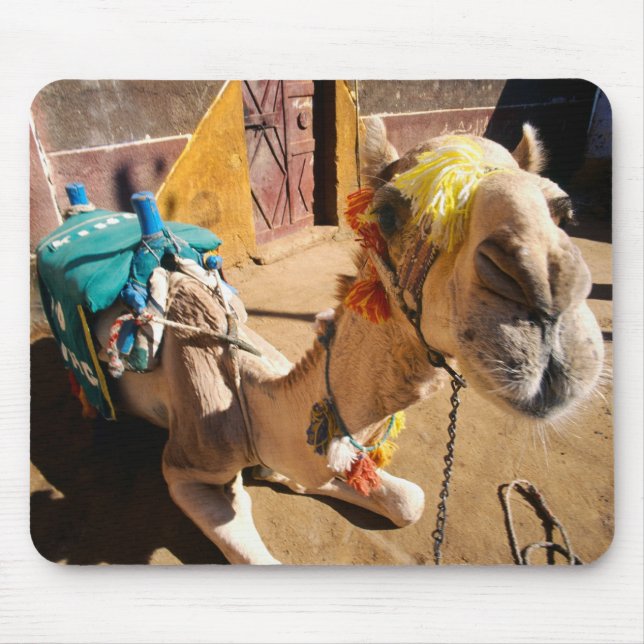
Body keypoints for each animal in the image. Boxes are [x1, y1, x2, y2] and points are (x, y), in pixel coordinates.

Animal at [105, 119, 603, 564]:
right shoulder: (186, 467)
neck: (253, 403)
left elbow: (410, 499)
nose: (546, 293)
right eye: (387, 214)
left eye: (564, 212)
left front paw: (290, 477)